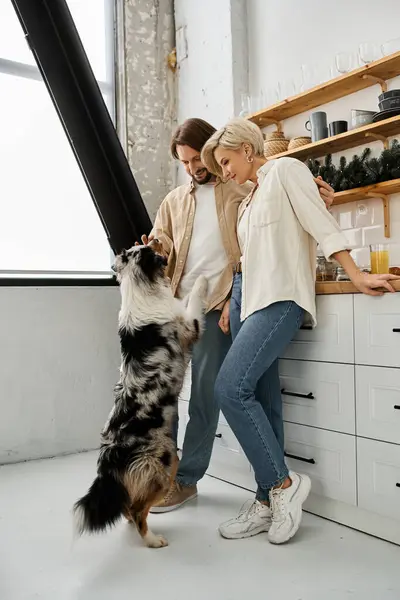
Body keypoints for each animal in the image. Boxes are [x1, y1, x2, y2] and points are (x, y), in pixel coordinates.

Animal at [73, 241, 208, 548]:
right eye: (151, 249)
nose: (159, 241)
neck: (139, 286)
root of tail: (108, 461)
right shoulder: (189, 327)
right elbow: (194, 300)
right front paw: (203, 280)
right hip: (164, 464)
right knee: (137, 510)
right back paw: (153, 540)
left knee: (129, 506)